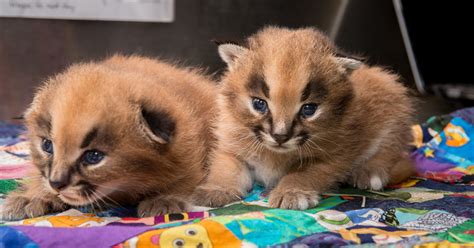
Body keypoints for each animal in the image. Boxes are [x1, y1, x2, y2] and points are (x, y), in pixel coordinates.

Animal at [1, 54, 217, 221]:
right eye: (47, 146)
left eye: (94, 156)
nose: (56, 183)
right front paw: (34, 196)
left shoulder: (188, 145)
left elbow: (186, 174)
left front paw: (165, 198)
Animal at [193, 26, 414, 209]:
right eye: (259, 104)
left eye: (309, 109)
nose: (280, 136)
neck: (275, 154)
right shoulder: (230, 146)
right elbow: (226, 168)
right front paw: (217, 190)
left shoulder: (331, 158)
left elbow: (302, 174)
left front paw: (291, 193)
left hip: (394, 109)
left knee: (390, 150)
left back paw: (370, 174)